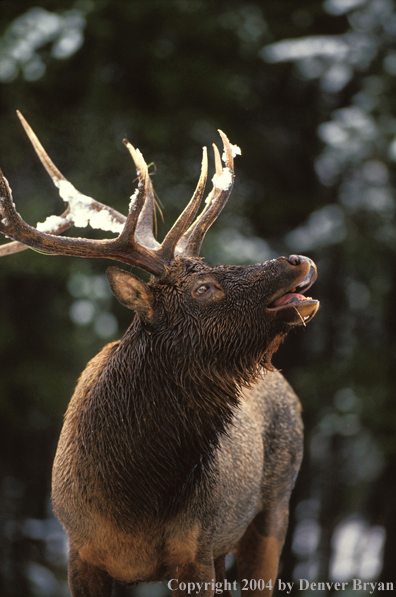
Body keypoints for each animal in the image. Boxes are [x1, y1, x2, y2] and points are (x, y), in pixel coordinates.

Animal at [0, 113, 318, 596]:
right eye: (203, 287)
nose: (297, 260)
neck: (133, 503)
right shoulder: (81, 551)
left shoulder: (196, 550)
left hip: (274, 510)